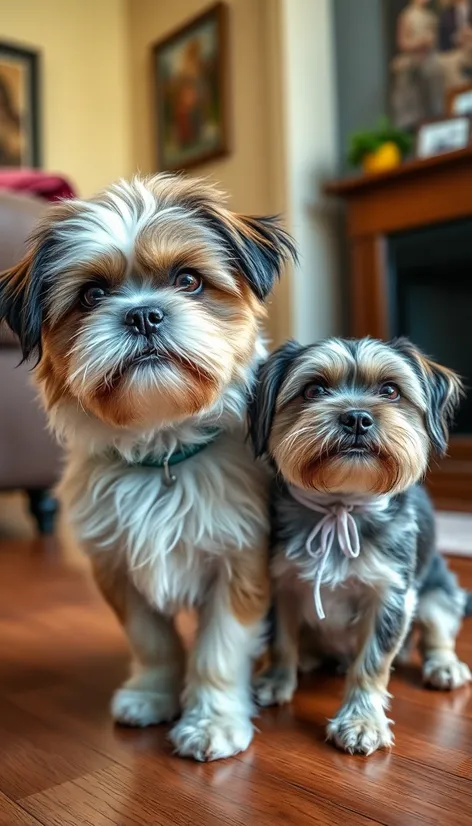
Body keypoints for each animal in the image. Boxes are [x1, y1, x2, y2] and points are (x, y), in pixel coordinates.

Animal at [0, 172, 296, 760]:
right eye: (92, 295)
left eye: (188, 281)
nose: (142, 314)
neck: (161, 450)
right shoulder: (116, 569)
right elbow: (153, 640)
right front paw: (153, 694)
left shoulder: (239, 567)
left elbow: (217, 651)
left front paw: (212, 721)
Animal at [249, 334, 470, 752]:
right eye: (313, 390)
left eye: (390, 391)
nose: (356, 417)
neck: (342, 504)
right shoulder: (282, 584)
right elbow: (282, 640)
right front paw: (275, 680)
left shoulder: (391, 595)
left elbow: (371, 663)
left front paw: (361, 721)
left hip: (438, 591)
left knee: (436, 631)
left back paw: (444, 666)